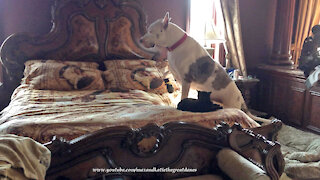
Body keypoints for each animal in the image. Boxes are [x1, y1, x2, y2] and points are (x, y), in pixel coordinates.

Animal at [140, 12, 270, 124]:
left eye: (150, 31)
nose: (140, 40)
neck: (175, 45)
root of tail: (241, 98)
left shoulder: (186, 80)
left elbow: (183, 95)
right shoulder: (175, 75)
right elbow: (166, 77)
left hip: (231, 104)